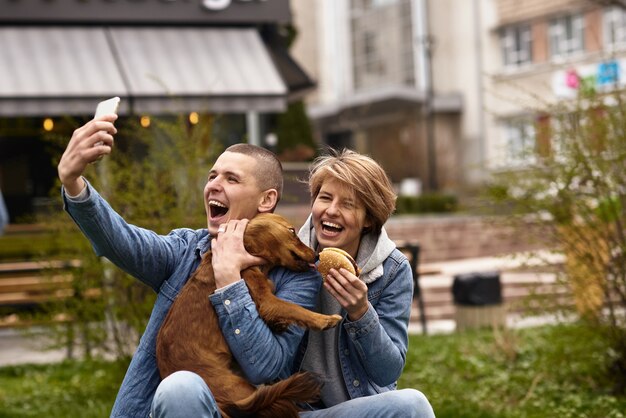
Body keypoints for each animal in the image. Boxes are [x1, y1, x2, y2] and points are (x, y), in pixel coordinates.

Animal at [156, 214, 342, 416]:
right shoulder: (267, 300)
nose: (316, 256)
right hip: (241, 389)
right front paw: (326, 320)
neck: (248, 249)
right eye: (292, 231)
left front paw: (279, 324)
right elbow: (295, 309)